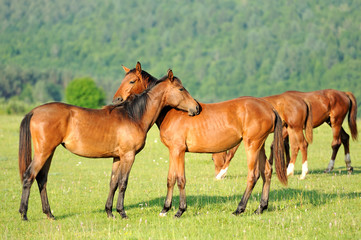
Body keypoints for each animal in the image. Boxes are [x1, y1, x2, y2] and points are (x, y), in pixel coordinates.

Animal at [17, 70, 200, 221]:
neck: (133, 116)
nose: (196, 108)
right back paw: (24, 214)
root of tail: (34, 111)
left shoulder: (117, 157)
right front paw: (122, 212)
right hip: (43, 152)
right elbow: (123, 183)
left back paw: (49, 214)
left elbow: (113, 183)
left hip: (49, 152)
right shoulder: (128, 156)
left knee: (42, 179)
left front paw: (110, 212)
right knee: (29, 176)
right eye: (181, 89)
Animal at [112, 62, 286, 218]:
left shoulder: (179, 150)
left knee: (253, 175)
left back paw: (239, 209)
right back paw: (260, 208)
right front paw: (165, 209)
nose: (116, 100)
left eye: (132, 81)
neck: (172, 111)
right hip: (260, 145)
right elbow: (170, 179)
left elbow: (180, 179)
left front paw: (180, 211)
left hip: (252, 145)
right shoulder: (172, 151)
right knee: (267, 172)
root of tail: (269, 107)